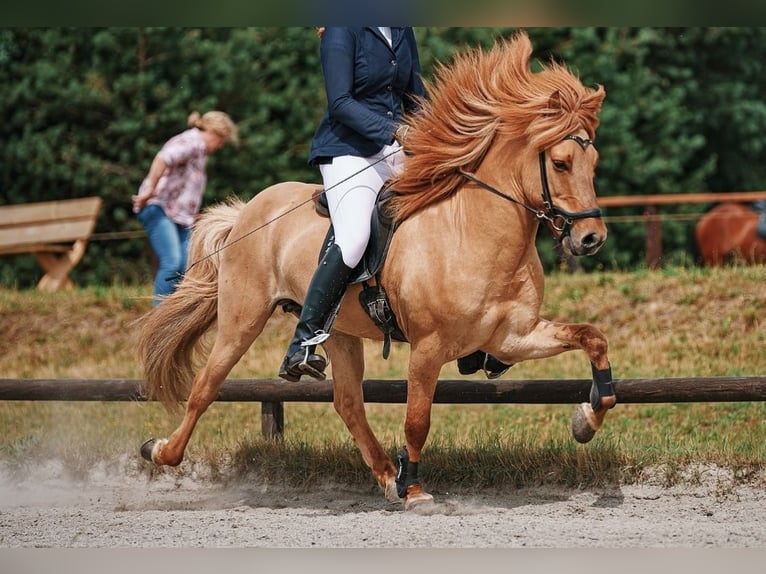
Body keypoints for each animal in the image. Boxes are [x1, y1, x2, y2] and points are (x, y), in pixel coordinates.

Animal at [136, 31, 614, 510]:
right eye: (560, 163)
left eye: (594, 165)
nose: (591, 238)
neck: (476, 233)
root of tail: (246, 213)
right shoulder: (428, 347)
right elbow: (417, 419)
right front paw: (415, 488)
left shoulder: (513, 337)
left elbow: (593, 338)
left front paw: (586, 419)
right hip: (243, 317)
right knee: (205, 386)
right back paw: (160, 451)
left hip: (341, 332)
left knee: (348, 403)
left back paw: (386, 475)